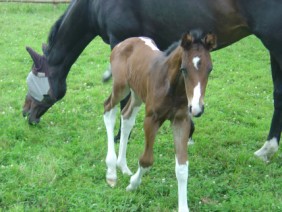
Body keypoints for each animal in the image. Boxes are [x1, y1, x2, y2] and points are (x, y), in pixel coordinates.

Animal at [23, 0, 282, 162]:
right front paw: (189, 132)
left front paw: (120, 136)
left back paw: (267, 149)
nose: (27, 114)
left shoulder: (121, 40)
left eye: (32, 80)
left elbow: (125, 95)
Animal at [103, 30, 216, 212]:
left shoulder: (181, 120)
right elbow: (146, 160)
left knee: (126, 117)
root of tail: (123, 43)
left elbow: (182, 167)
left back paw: (123, 166)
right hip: (120, 87)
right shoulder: (152, 119)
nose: (197, 109)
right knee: (108, 110)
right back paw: (112, 171)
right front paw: (133, 185)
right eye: (184, 69)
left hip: (137, 93)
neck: (172, 86)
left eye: (210, 69)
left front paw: (183, 207)